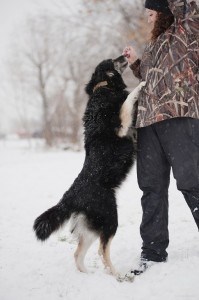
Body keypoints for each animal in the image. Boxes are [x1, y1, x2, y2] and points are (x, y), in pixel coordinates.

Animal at [32, 55, 145, 278]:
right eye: (113, 60)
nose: (125, 55)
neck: (103, 88)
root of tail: (70, 197)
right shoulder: (121, 124)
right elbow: (128, 100)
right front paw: (140, 85)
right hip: (110, 218)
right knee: (103, 251)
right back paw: (117, 275)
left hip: (92, 226)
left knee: (78, 254)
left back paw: (88, 274)